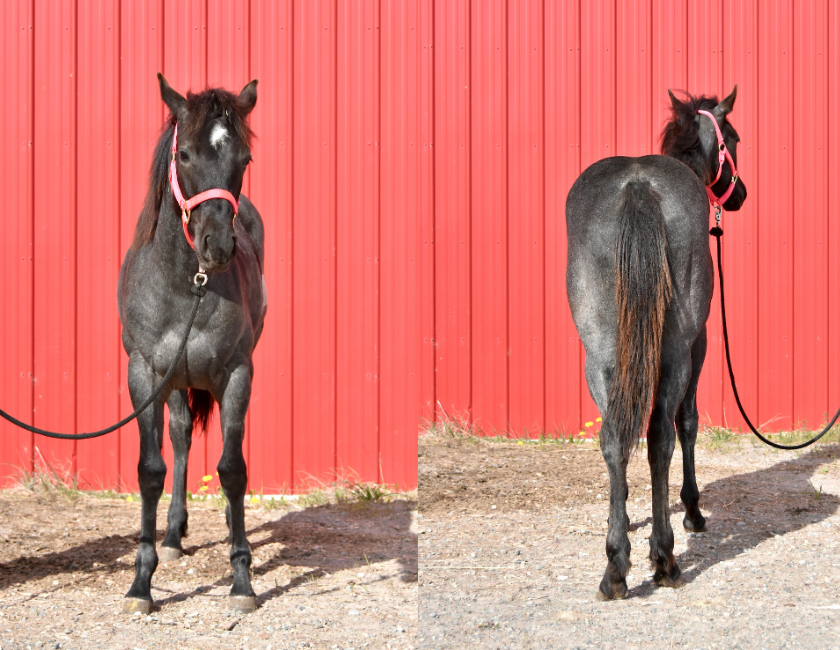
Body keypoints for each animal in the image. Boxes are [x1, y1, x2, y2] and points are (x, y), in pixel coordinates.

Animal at [118, 74, 266, 614]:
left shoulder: (238, 374)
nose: (217, 247)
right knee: (180, 437)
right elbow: (151, 470)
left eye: (244, 158)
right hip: (175, 380)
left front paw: (241, 580)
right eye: (183, 155)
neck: (188, 287)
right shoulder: (144, 374)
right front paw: (142, 583)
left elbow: (232, 468)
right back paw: (172, 536)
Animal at [565, 87, 747, 600]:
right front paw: (692, 512)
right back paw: (665, 558)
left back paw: (615, 567)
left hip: (599, 355)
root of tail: (638, 187)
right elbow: (688, 423)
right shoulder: (699, 344)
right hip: (677, 352)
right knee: (663, 433)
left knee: (614, 437)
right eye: (733, 138)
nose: (740, 194)